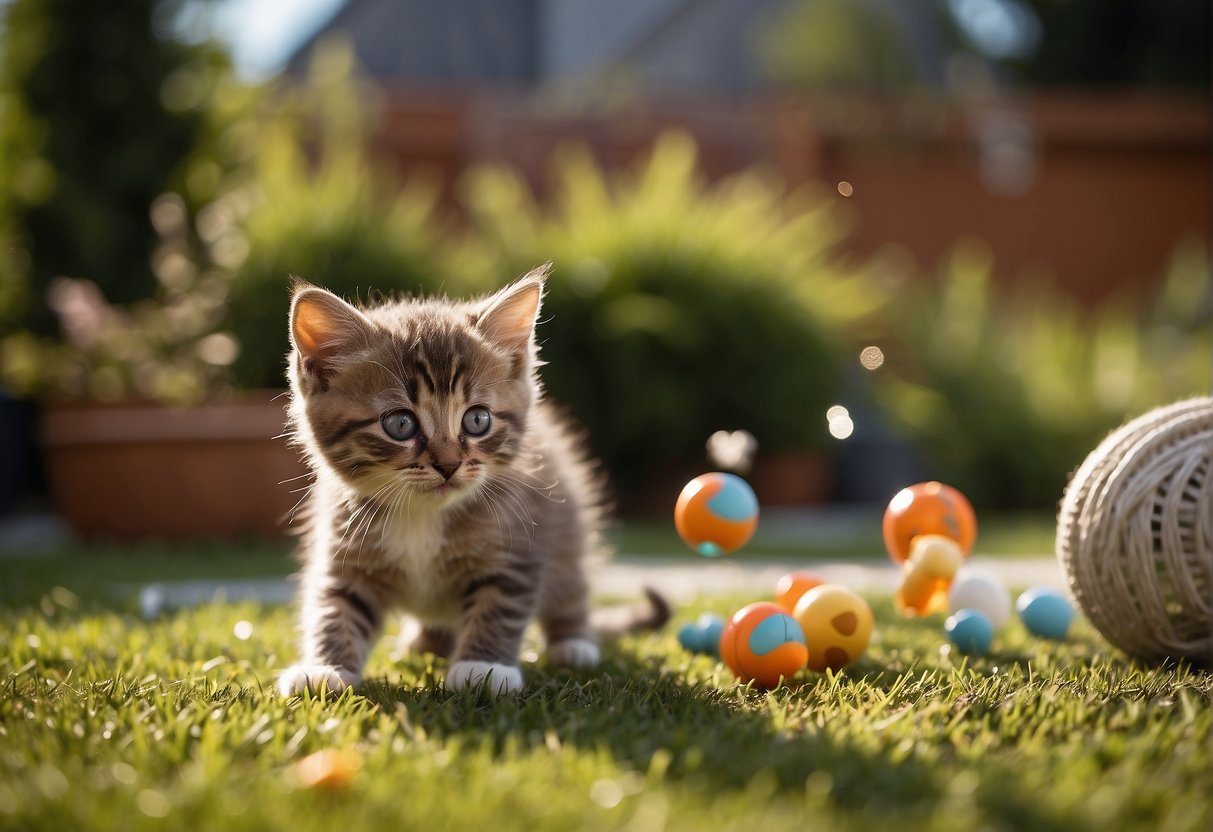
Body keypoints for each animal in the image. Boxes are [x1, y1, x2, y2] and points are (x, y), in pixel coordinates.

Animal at [277, 265, 669, 698]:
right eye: (400, 424)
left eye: (477, 420)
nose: (448, 465)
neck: (423, 513)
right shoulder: (345, 550)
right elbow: (334, 606)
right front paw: (324, 668)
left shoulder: (517, 547)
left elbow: (499, 604)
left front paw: (484, 668)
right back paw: (427, 640)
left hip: (568, 530)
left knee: (570, 588)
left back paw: (573, 642)